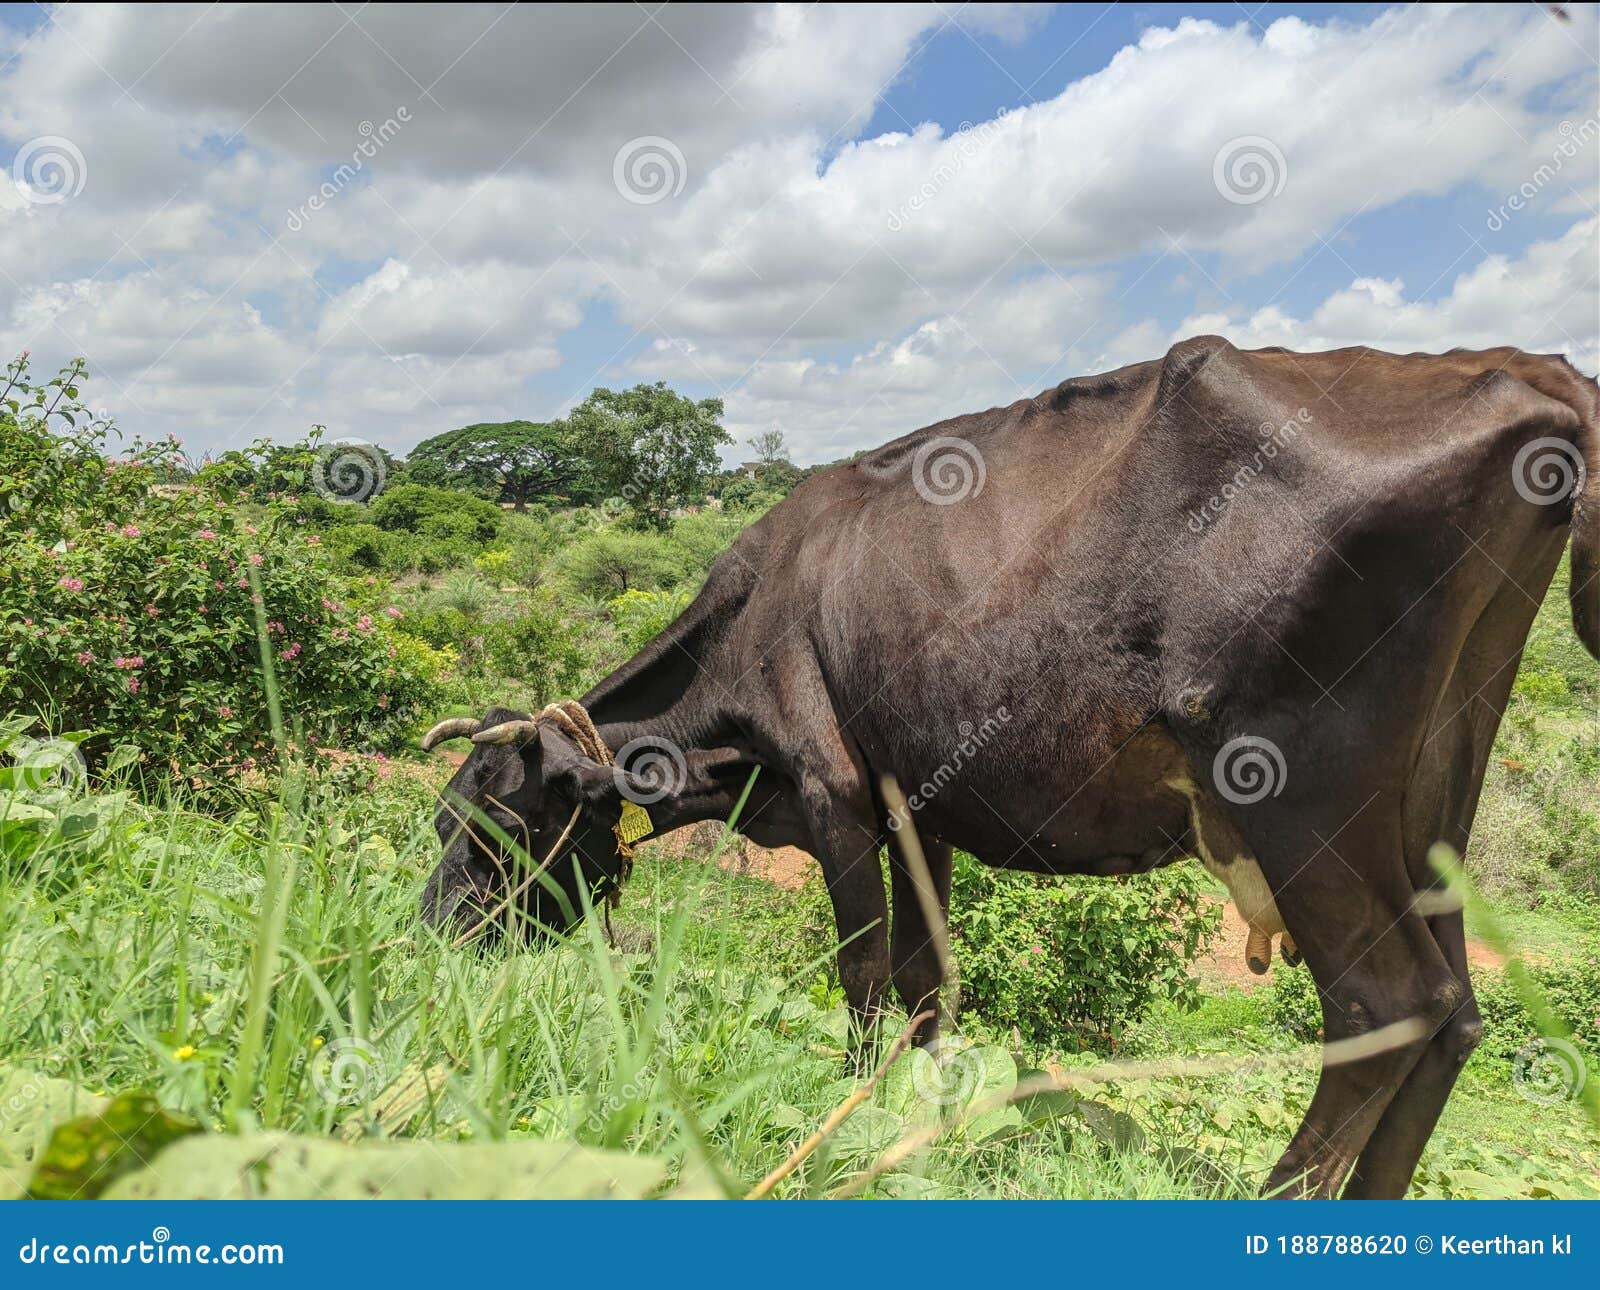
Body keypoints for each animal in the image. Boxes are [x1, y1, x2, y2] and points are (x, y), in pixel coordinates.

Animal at [420, 336, 1598, 1198]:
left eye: (490, 828)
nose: (426, 942)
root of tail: (1516, 369)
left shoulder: (832, 789)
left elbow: (860, 969)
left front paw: (844, 1111)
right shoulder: (913, 804)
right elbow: (923, 977)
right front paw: (921, 1104)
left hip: (1298, 785)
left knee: (1386, 1003)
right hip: (1434, 787)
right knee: (1456, 1013)